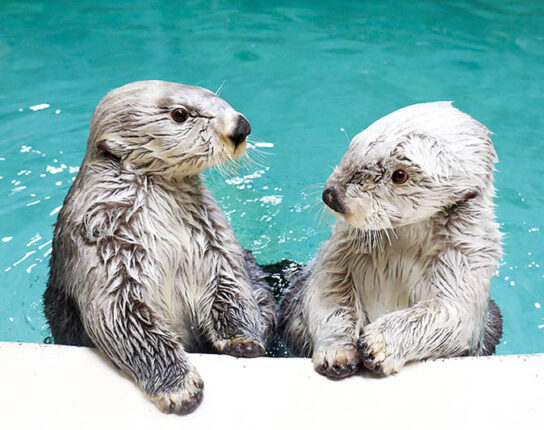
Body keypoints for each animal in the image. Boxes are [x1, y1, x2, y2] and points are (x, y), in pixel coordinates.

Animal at [43, 80, 274, 414]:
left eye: (215, 96)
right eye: (180, 114)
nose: (240, 127)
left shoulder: (215, 240)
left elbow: (231, 286)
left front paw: (243, 341)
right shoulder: (98, 248)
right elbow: (124, 322)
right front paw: (179, 388)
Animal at [280, 102, 502, 378]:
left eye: (399, 176)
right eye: (353, 147)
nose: (331, 195)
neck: (404, 244)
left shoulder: (465, 261)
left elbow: (451, 314)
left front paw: (377, 345)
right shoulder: (340, 250)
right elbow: (328, 292)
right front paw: (338, 354)